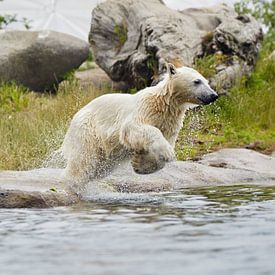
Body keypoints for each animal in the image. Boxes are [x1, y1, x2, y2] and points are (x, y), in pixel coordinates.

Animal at [61, 63, 219, 182]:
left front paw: (139, 164)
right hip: (88, 130)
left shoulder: (170, 122)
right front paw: (168, 152)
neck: (163, 103)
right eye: (197, 81)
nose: (213, 95)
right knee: (83, 161)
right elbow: (135, 129)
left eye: (207, 81)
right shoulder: (143, 110)